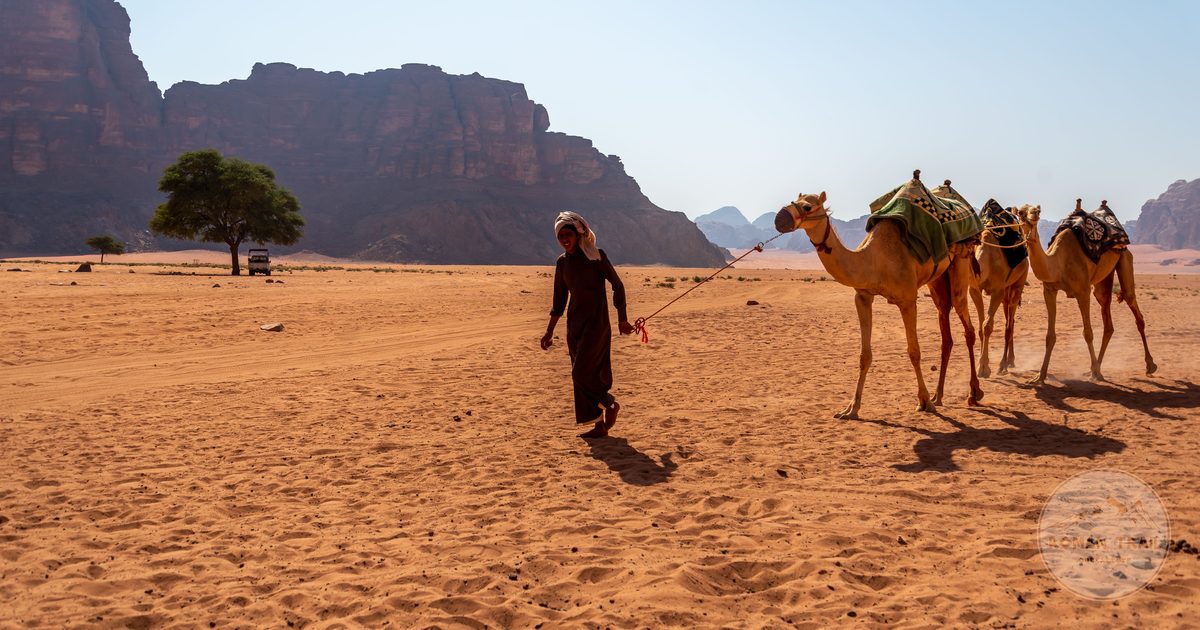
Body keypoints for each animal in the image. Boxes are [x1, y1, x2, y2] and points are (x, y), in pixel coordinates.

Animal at [774, 173, 983, 419]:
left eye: (807, 206)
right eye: (793, 200)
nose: (779, 218)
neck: (874, 260)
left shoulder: (907, 299)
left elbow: (914, 352)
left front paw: (923, 402)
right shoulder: (863, 296)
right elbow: (864, 355)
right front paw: (851, 408)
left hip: (960, 265)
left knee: (968, 327)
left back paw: (973, 393)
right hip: (938, 280)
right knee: (946, 333)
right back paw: (938, 396)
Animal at [971, 202, 1030, 378]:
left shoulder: (997, 290)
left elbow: (987, 326)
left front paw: (984, 368)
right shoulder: (974, 289)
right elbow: (980, 327)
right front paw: (981, 364)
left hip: (1017, 284)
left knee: (1009, 324)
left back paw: (1004, 364)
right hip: (1007, 291)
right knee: (1009, 321)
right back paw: (1009, 361)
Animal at [1018, 201, 1156, 385]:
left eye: (1038, 210)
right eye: (1020, 212)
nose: (1033, 215)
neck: (1058, 262)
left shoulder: (1083, 292)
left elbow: (1088, 333)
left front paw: (1096, 372)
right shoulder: (1049, 290)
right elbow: (1050, 336)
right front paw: (1039, 376)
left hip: (1125, 258)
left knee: (1134, 307)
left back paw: (1149, 365)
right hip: (1102, 283)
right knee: (1108, 321)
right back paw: (1094, 369)